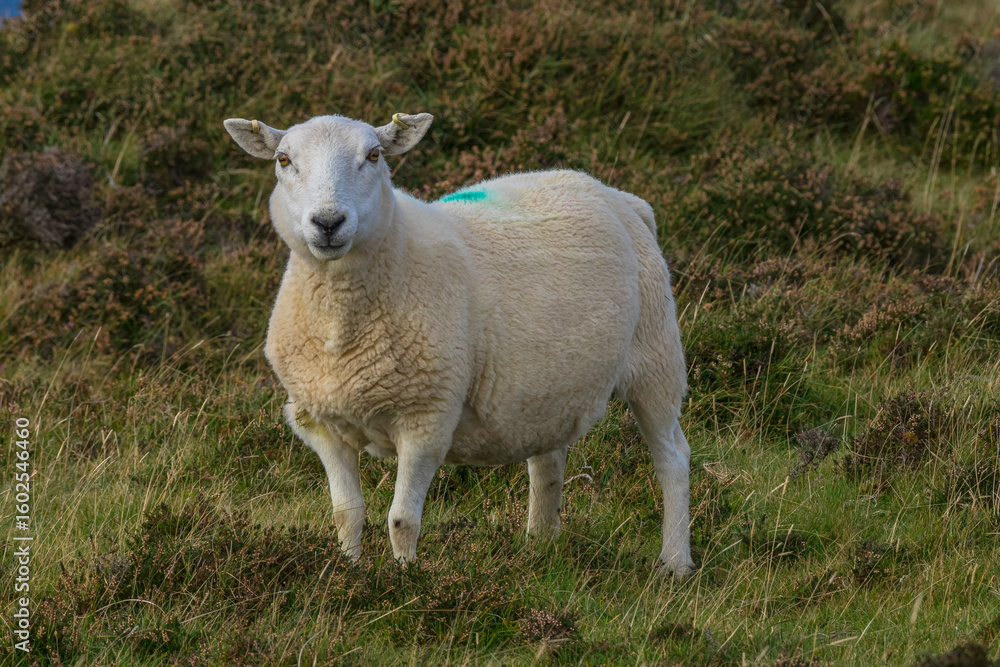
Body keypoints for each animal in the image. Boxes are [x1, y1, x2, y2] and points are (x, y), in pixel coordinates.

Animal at [222, 112, 695, 577]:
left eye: (374, 155)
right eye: (283, 160)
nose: (327, 223)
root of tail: (620, 197)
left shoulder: (427, 419)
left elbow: (402, 519)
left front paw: (404, 579)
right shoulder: (322, 424)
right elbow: (346, 513)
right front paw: (348, 574)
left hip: (656, 356)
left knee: (672, 457)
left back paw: (675, 561)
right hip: (549, 388)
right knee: (547, 461)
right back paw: (540, 546)